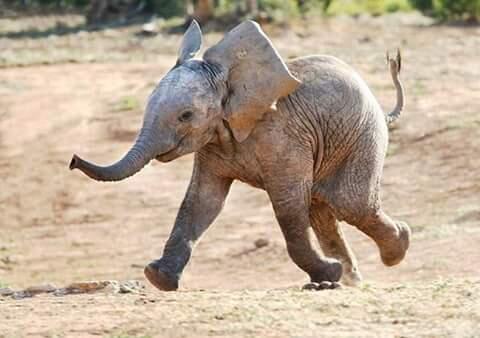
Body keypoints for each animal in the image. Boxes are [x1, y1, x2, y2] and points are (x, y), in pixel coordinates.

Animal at [69, 19, 410, 292]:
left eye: (186, 116)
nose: (72, 160)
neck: (229, 81)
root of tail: (381, 108)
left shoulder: (283, 138)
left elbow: (288, 205)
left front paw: (329, 272)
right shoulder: (212, 143)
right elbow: (202, 201)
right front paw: (158, 278)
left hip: (363, 135)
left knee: (350, 203)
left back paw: (396, 248)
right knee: (324, 210)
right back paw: (349, 279)